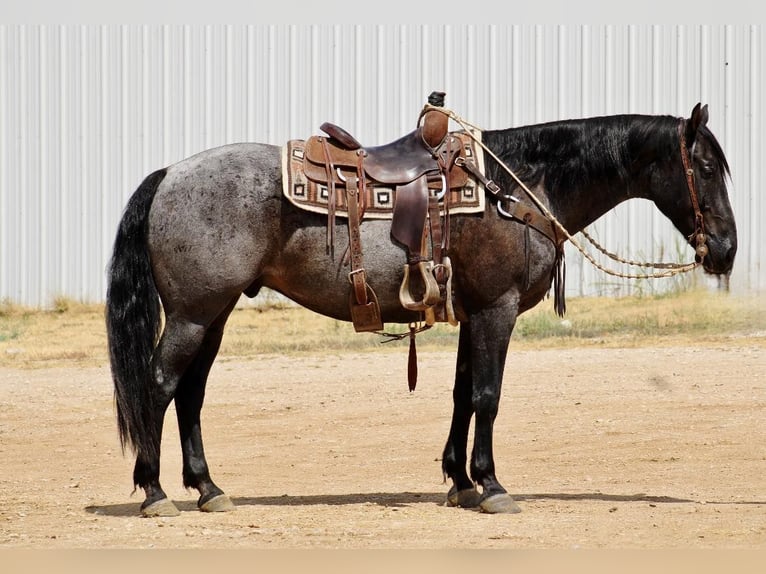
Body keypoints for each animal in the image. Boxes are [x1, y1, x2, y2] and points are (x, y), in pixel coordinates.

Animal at [106, 102, 736, 516]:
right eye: (706, 167)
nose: (727, 249)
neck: (518, 187)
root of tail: (170, 174)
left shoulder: (474, 312)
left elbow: (462, 393)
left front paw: (460, 481)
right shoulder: (497, 310)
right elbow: (488, 395)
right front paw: (492, 486)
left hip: (213, 315)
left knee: (190, 393)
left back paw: (208, 489)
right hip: (192, 314)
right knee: (159, 385)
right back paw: (155, 492)